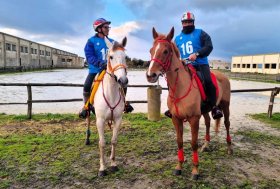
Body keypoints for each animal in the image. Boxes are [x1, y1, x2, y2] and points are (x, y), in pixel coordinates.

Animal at [92, 36, 128, 176]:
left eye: (125, 56)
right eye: (111, 57)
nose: (123, 80)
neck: (111, 93)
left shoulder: (118, 119)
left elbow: (113, 140)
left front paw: (113, 164)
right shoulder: (100, 121)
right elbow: (102, 143)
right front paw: (102, 168)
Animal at [145, 27, 233, 179]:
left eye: (165, 51)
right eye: (151, 50)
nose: (151, 75)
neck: (180, 88)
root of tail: (223, 76)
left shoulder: (193, 119)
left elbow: (193, 143)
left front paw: (195, 170)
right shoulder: (176, 119)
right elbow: (179, 142)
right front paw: (179, 166)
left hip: (225, 105)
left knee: (227, 124)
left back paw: (229, 148)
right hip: (205, 110)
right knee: (208, 122)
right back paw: (206, 145)